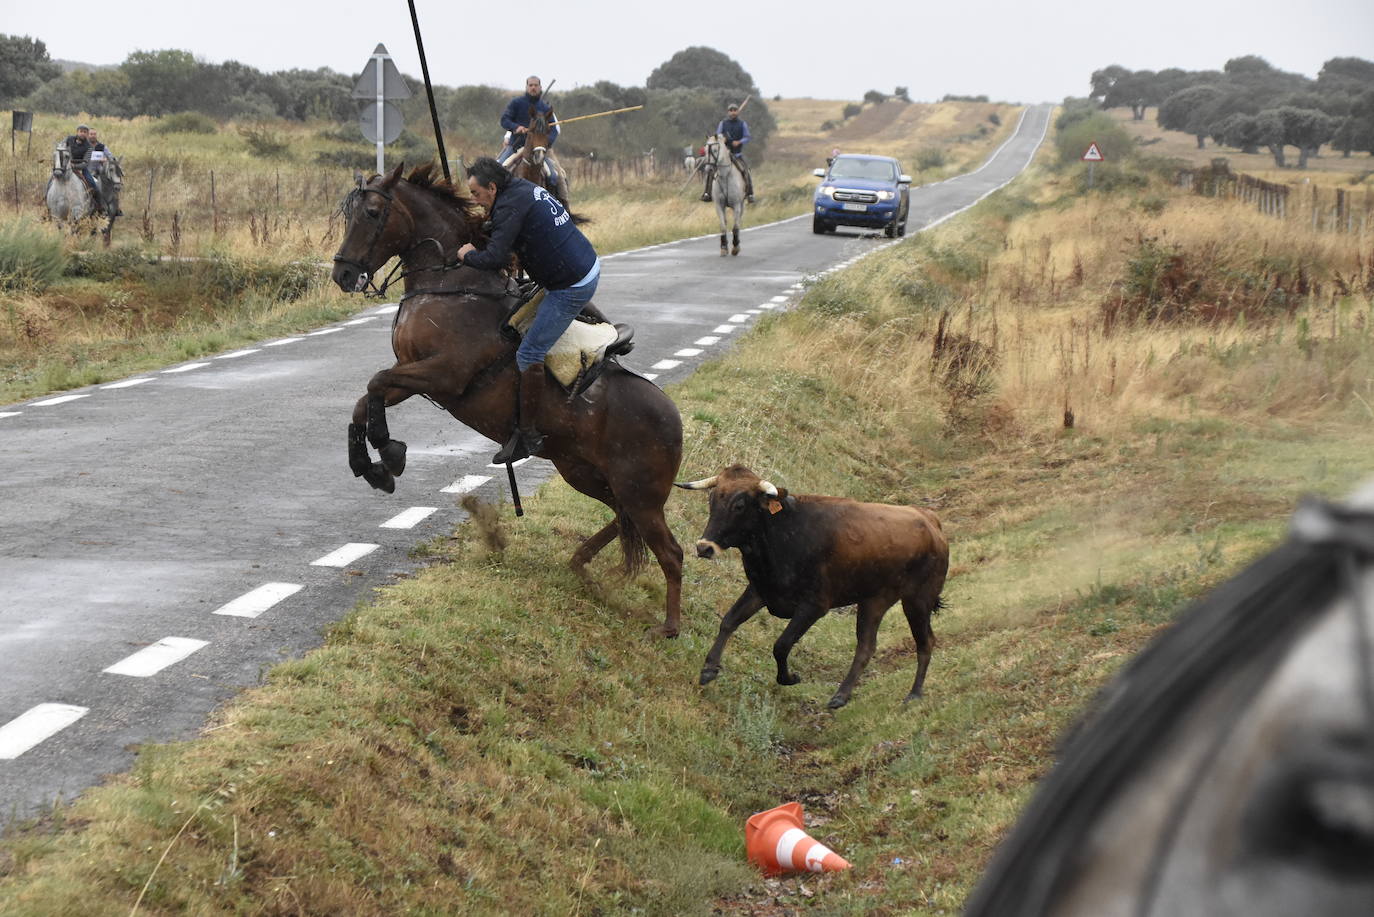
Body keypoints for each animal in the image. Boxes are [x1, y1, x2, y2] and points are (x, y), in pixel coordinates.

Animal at [327, 164, 681, 635]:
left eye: (370, 212)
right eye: (348, 214)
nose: (344, 274)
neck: (451, 282)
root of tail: (676, 420)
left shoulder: (445, 374)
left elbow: (374, 384)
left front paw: (389, 452)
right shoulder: (416, 376)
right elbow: (366, 399)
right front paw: (374, 466)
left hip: (641, 494)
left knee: (671, 553)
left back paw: (670, 627)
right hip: (583, 472)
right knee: (619, 518)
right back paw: (579, 562)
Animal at [673, 467, 945, 709]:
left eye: (739, 505)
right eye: (712, 500)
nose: (704, 547)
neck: (784, 534)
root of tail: (930, 520)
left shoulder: (814, 606)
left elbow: (781, 644)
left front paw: (789, 678)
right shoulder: (761, 590)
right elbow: (729, 621)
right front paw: (709, 668)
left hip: (917, 600)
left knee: (925, 642)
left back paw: (914, 694)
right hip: (873, 601)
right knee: (866, 647)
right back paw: (841, 696)